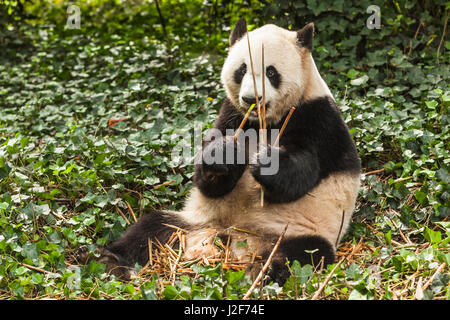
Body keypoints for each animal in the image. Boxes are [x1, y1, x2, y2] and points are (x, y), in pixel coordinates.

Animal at [85, 20, 362, 284]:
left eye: (271, 72)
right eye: (242, 69)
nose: (251, 99)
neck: (263, 121)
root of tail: (233, 241)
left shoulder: (317, 118)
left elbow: (300, 175)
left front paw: (267, 162)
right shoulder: (231, 113)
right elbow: (207, 180)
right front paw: (225, 155)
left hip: (300, 229)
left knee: (300, 256)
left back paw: (260, 272)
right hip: (192, 221)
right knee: (150, 229)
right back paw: (110, 260)